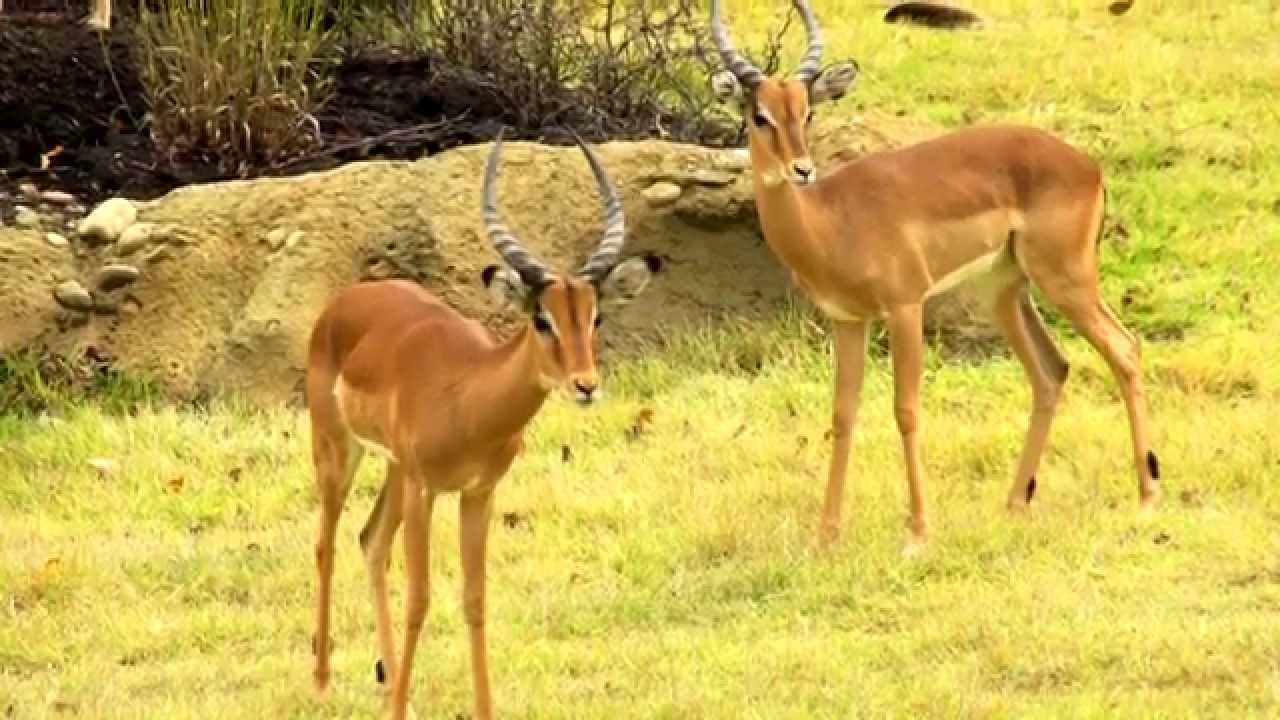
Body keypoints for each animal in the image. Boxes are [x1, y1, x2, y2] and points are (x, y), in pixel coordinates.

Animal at [305, 132, 660, 720]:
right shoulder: (427, 489)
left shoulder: (478, 493)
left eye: (596, 316)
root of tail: (345, 301)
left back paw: (391, 687)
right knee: (326, 543)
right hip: (338, 448)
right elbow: (421, 598)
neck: (467, 397)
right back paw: (323, 682)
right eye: (541, 318)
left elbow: (475, 599)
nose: (586, 385)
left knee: (371, 541)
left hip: (395, 472)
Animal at [709, 0, 1160, 550]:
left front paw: (919, 534)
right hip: (1004, 291)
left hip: (1067, 280)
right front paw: (826, 537)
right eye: (760, 116)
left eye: (808, 111)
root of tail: (1089, 166)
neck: (832, 221)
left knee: (1125, 350)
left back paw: (1148, 497)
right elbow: (842, 415)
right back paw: (1016, 502)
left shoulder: (905, 308)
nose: (801, 170)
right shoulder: (848, 320)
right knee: (1052, 371)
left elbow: (906, 410)